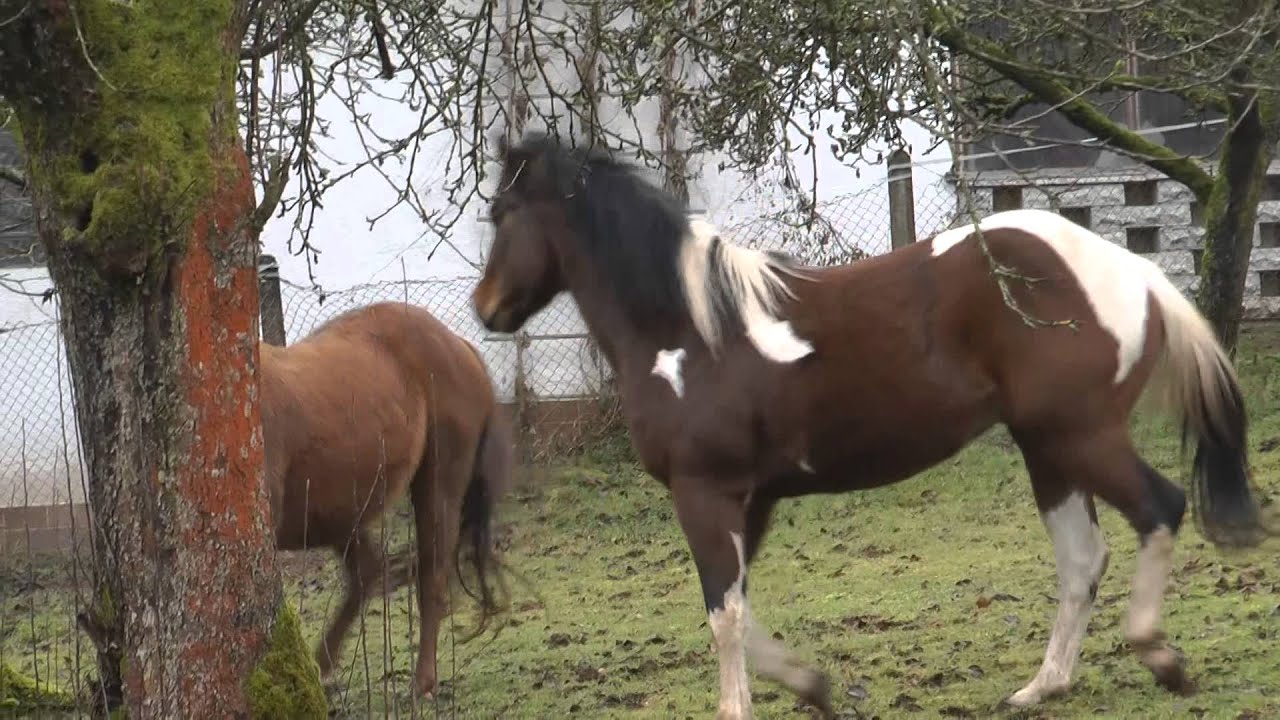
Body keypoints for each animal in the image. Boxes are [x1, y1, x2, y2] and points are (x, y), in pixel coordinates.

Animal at [258, 300, 513, 696]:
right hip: (341, 515)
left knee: (430, 577)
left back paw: (421, 682)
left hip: (436, 489)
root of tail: (460, 345)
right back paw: (321, 666)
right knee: (368, 572)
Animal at [470, 132, 1275, 718]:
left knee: (1160, 509)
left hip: (1082, 438)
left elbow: (723, 613)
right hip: (1048, 448)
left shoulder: (704, 493)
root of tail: (1133, 273)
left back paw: (1159, 657)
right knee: (1083, 558)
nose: (486, 309)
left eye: (501, 214)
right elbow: (740, 606)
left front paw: (744, 706)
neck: (691, 329)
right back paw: (1042, 686)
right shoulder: (749, 499)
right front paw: (812, 685)